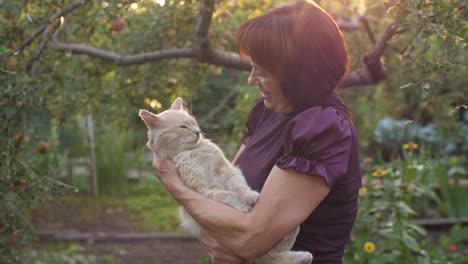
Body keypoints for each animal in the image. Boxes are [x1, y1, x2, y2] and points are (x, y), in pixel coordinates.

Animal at [139, 97, 314, 264]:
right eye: (182, 127)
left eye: (193, 123)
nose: (197, 132)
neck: (192, 152)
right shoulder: (204, 190)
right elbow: (228, 195)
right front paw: (244, 207)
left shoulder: (226, 169)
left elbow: (239, 187)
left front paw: (250, 197)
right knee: (266, 257)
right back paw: (303, 255)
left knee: (272, 253)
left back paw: (302, 251)